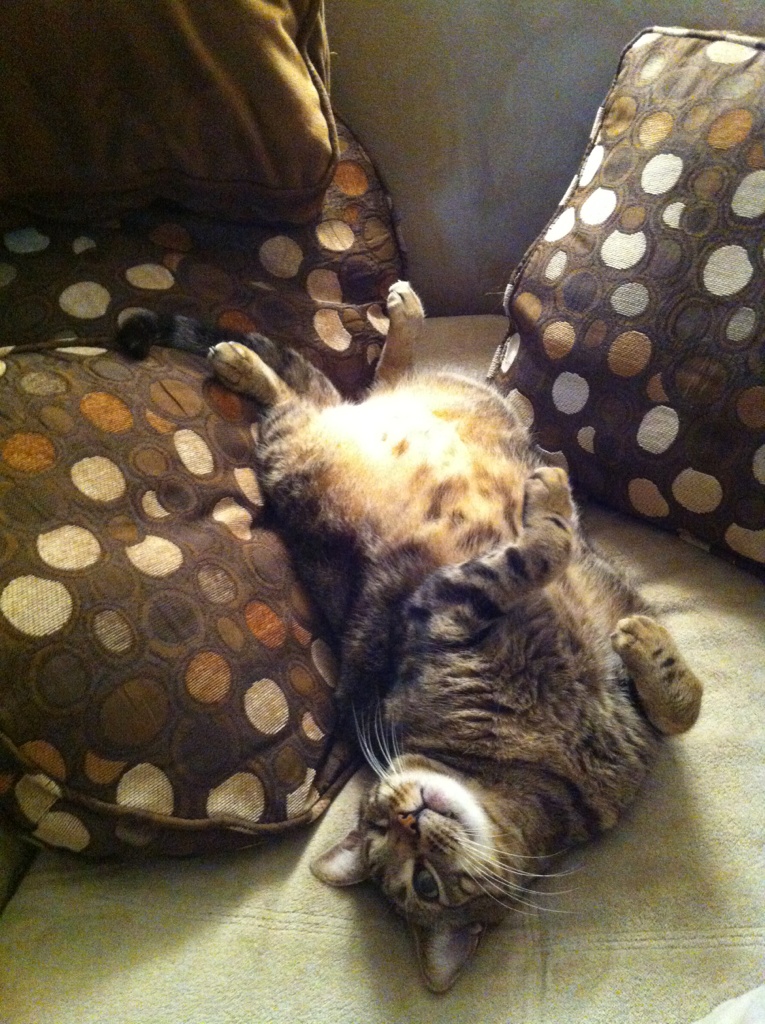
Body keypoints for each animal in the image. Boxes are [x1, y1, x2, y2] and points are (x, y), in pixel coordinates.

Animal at [117, 281, 703, 993]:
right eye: (419, 882)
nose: (406, 817)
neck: (545, 772)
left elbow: (679, 712)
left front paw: (651, 652)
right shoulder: (441, 607)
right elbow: (544, 549)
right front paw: (557, 520)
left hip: (447, 404)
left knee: (355, 383)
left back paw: (381, 325)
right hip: (290, 453)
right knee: (295, 401)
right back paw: (243, 363)